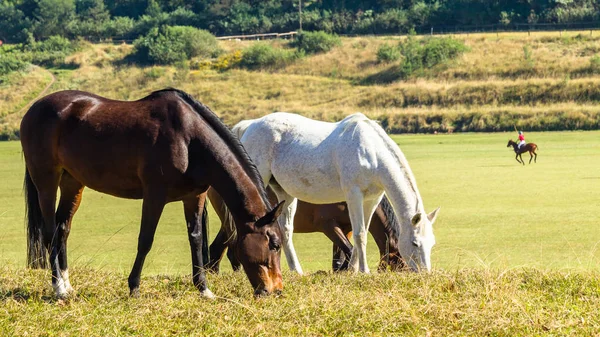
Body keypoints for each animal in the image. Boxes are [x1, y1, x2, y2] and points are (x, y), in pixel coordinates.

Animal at [19, 88, 288, 296]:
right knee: (49, 231)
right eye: (274, 244)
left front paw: (203, 288)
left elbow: (195, 239)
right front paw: (134, 287)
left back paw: (67, 284)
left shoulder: (194, 196)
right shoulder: (154, 196)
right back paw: (58, 289)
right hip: (46, 180)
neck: (188, 139)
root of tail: (34, 109)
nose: (276, 290)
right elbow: (145, 240)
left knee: (63, 230)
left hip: (72, 183)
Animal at [206, 188, 408, 272]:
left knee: (217, 248)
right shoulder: (329, 226)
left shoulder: (346, 229)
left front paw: (341, 272)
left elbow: (341, 257)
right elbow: (349, 251)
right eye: (401, 263)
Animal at [236, 112, 440, 272]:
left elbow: (361, 232)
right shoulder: (354, 196)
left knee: (285, 229)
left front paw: (353, 269)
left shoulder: (372, 200)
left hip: (285, 193)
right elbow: (360, 234)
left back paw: (297, 271)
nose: (425, 272)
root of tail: (250, 125)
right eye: (415, 243)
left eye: (431, 243)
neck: (371, 152)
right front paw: (364, 271)